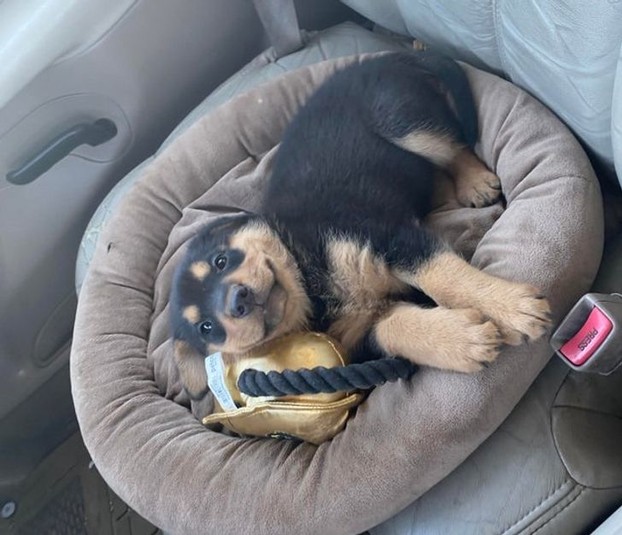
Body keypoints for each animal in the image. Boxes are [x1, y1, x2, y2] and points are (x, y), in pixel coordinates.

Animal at [170, 52, 551, 400]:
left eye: (221, 261)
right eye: (206, 328)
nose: (239, 300)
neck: (309, 283)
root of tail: (381, 58)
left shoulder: (389, 236)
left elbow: (443, 275)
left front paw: (511, 308)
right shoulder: (358, 338)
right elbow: (395, 328)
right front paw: (461, 341)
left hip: (402, 121)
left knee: (451, 147)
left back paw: (474, 182)